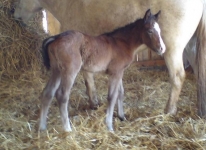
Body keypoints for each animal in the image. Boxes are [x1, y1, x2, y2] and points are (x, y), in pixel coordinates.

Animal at [13, 0, 206, 130]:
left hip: (175, 47)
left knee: (178, 76)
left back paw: (169, 111)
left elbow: (106, 88)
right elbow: (114, 94)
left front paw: (107, 111)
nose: (12, 13)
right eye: (151, 30)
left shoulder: (113, 70)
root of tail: (55, 38)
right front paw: (111, 118)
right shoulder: (116, 71)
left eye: (19, 1)